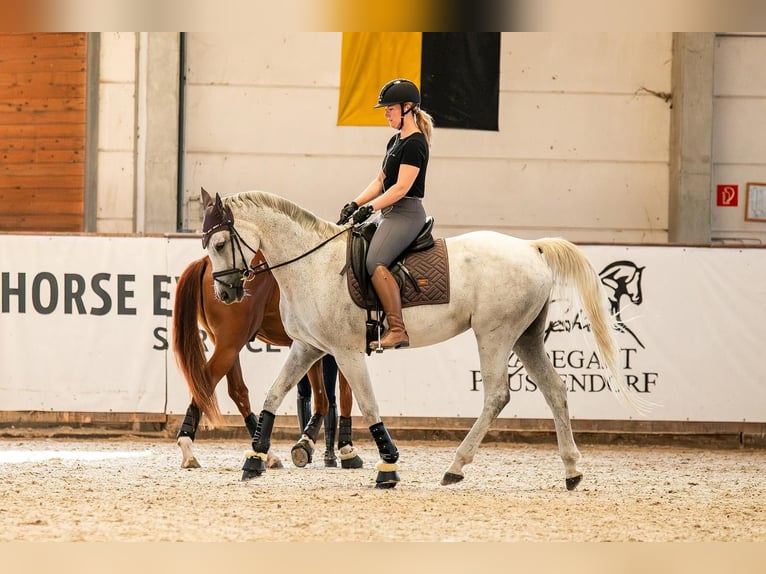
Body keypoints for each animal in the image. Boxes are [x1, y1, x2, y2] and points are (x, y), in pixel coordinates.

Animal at [171, 253, 363, 470]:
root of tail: (205, 260)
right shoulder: (341, 346)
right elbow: (343, 397)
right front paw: (346, 450)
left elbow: (325, 398)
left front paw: (308, 443)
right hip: (230, 344)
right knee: (206, 384)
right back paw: (187, 448)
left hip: (228, 346)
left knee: (237, 391)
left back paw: (267, 454)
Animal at [200, 188, 648, 489]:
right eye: (207, 244)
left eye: (220, 243)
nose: (225, 294)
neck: (313, 265)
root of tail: (531, 249)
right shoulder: (309, 347)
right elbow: (274, 395)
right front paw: (254, 458)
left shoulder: (345, 351)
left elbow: (367, 403)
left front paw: (388, 466)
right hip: (526, 337)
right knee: (555, 390)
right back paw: (571, 470)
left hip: (495, 334)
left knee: (497, 395)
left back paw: (456, 466)